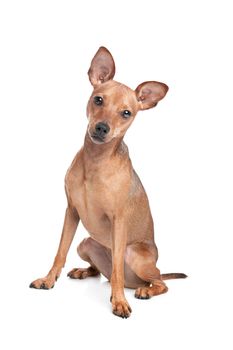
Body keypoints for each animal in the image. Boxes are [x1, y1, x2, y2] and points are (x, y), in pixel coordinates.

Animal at [30, 45, 187, 318]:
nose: (102, 128)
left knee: (157, 282)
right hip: (85, 243)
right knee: (100, 271)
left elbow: (116, 272)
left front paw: (119, 301)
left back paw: (144, 290)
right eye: (98, 100)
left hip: (134, 254)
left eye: (126, 113)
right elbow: (60, 252)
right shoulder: (71, 212)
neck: (96, 162)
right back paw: (84, 271)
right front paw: (48, 280)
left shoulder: (118, 220)